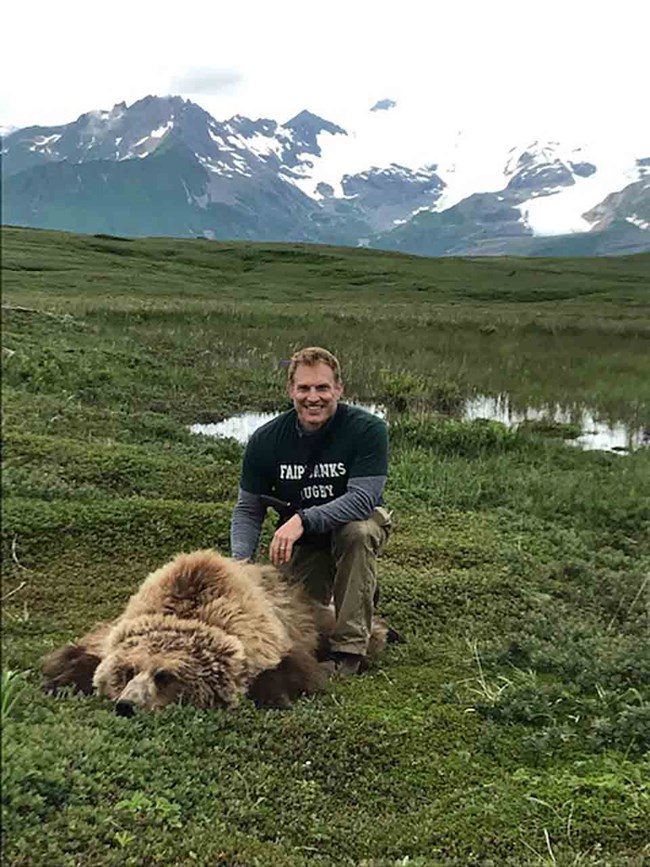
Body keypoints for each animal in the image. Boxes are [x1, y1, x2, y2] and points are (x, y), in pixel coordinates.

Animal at [43, 552, 388, 716]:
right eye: (128, 671)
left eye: (165, 676)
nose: (127, 704)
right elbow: (77, 657)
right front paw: (59, 681)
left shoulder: (268, 636)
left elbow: (289, 672)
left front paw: (278, 696)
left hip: (311, 616)